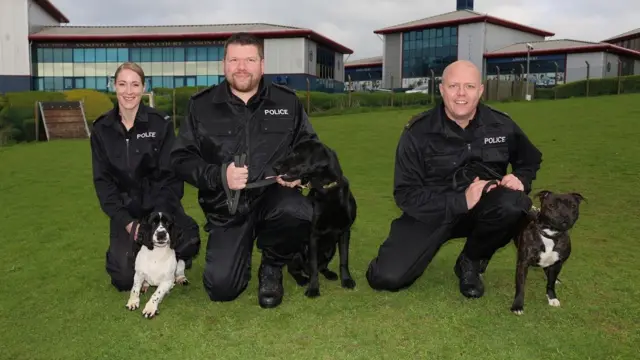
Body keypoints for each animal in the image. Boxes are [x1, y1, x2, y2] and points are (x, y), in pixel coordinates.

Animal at [272, 139, 358, 296]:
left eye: (296, 153)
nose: (275, 166)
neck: (327, 189)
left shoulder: (345, 231)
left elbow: (344, 259)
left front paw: (347, 280)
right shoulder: (313, 235)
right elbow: (313, 266)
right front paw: (313, 289)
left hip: (331, 249)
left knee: (321, 266)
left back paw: (329, 274)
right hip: (296, 251)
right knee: (295, 269)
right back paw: (302, 279)